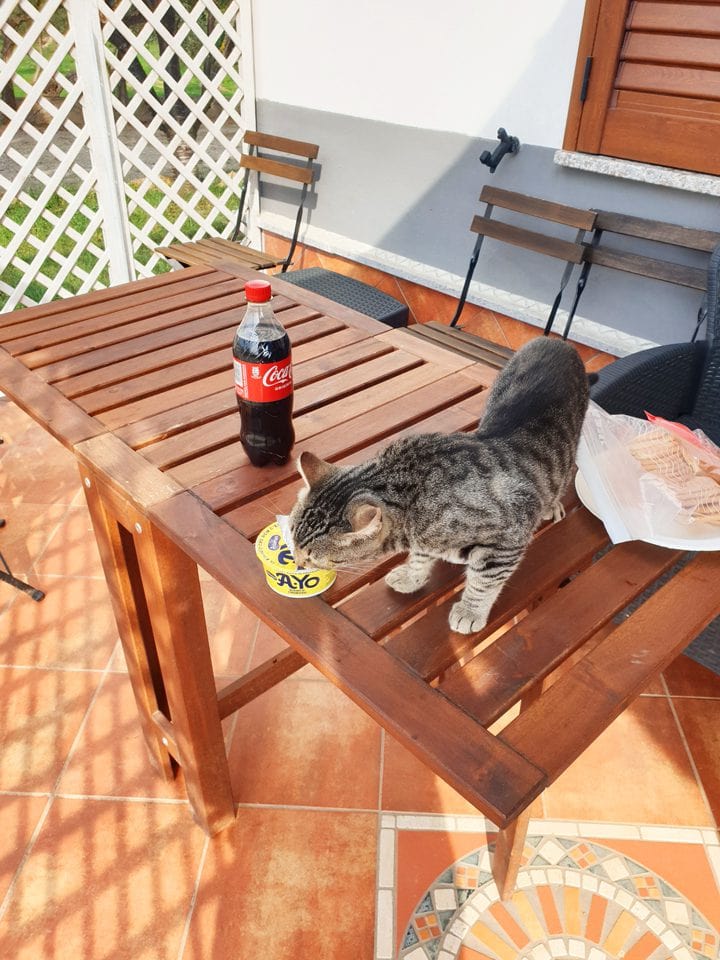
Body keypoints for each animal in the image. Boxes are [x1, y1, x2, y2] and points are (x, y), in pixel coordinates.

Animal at [286, 342, 592, 632]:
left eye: (312, 557)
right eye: (292, 538)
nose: (298, 563)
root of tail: (558, 343)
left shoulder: (507, 540)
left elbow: (484, 582)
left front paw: (470, 611)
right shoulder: (425, 536)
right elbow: (421, 557)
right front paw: (412, 576)